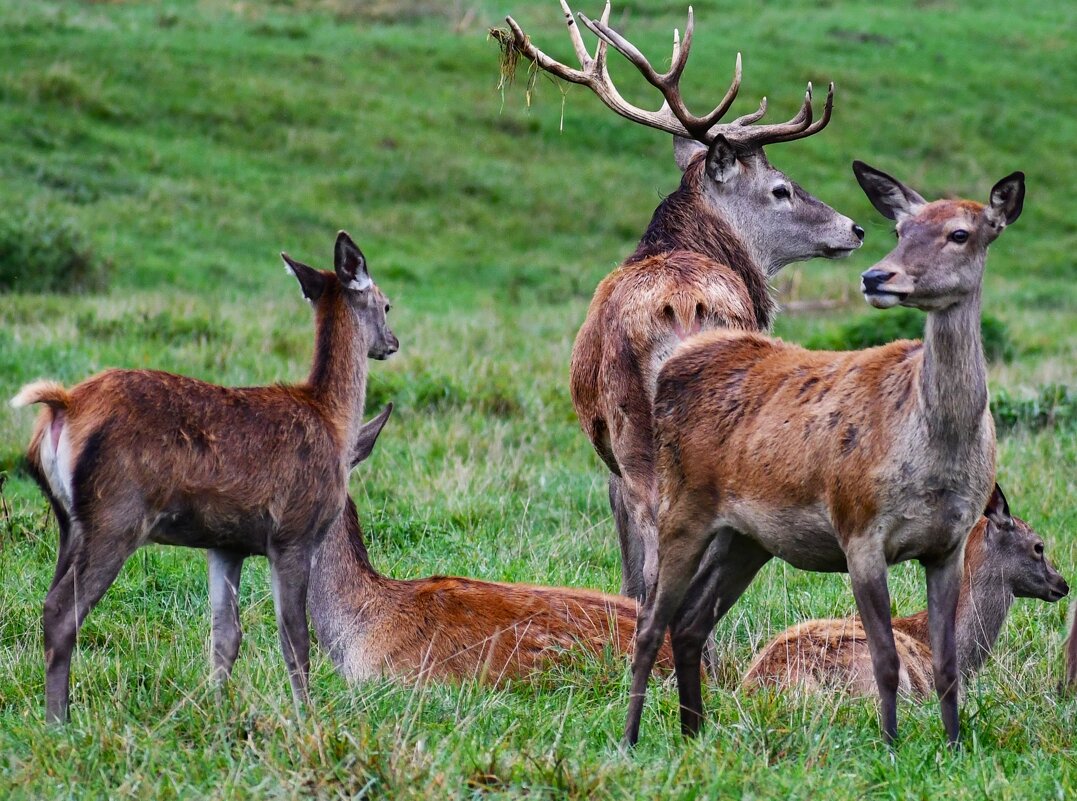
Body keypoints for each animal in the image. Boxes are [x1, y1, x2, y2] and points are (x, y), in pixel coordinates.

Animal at [9, 230, 396, 719]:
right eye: (387, 305)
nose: (392, 342)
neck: (332, 421)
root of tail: (63, 405)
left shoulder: (225, 544)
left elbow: (225, 637)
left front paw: (217, 711)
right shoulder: (293, 533)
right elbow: (295, 640)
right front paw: (305, 718)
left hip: (67, 522)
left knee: (49, 602)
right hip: (115, 515)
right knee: (61, 611)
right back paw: (59, 722)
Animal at [628, 159, 1029, 749]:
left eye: (961, 233)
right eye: (899, 229)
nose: (876, 277)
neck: (937, 457)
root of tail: (677, 362)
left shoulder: (948, 544)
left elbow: (947, 664)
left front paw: (955, 747)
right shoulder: (860, 528)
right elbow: (886, 658)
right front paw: (890, 746)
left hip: (745, 537)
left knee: (693, 620)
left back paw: (694, 733)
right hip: (681, 506)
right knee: (651, 619)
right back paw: (632, 738)